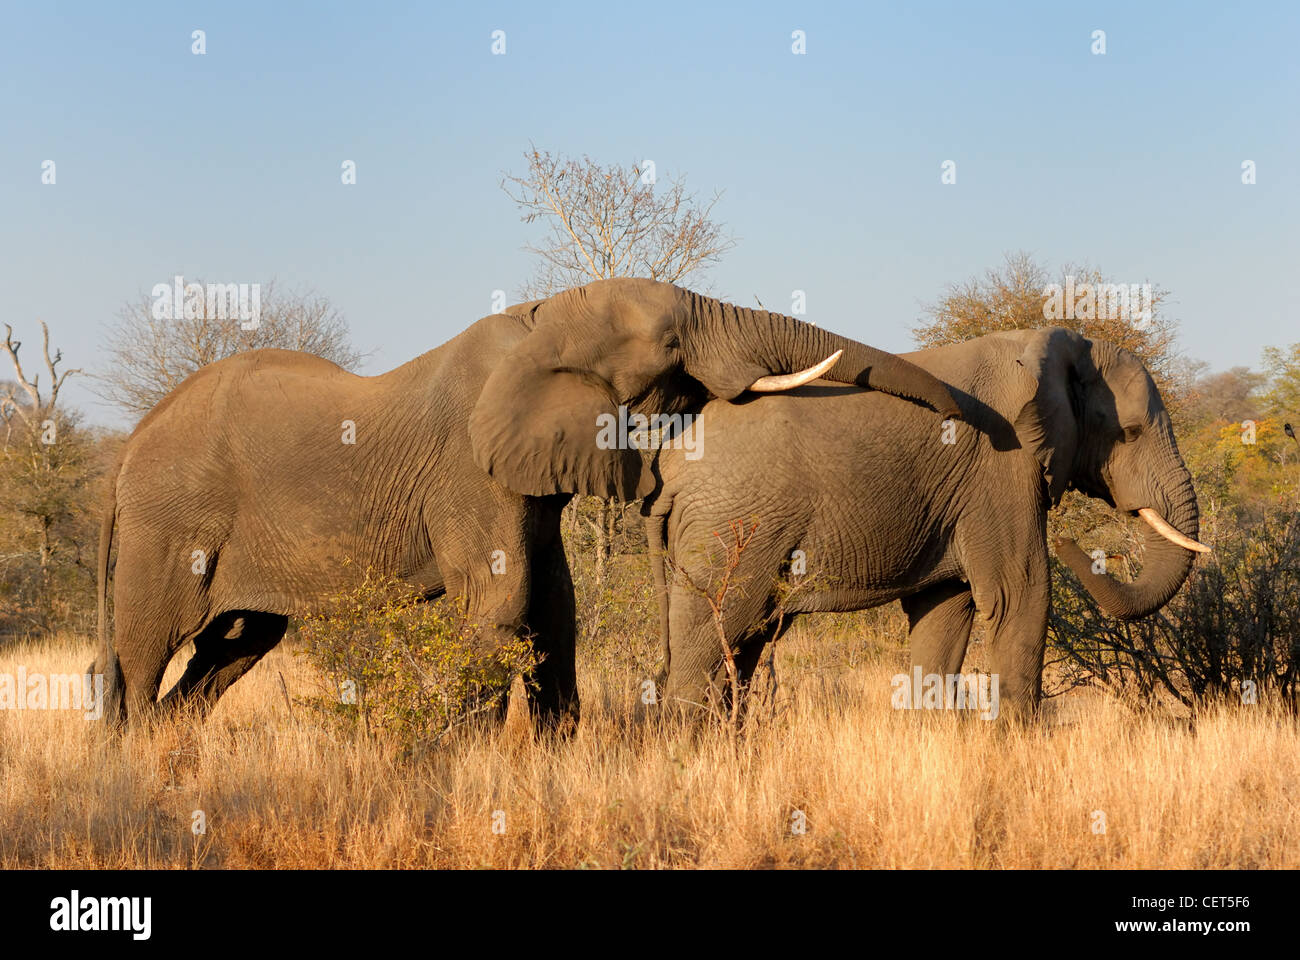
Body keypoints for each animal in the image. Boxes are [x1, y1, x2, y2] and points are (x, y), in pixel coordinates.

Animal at [94, 274, 967, 723]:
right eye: (673, 344)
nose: (974, 421)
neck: (539, 318)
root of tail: (128, 445)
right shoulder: (471, 474)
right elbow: (506, 599)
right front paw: (463, 760)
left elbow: (554, 608)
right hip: (169, 526)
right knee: (145, 648)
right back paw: (132, 764)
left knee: (229, 648)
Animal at [647, 329, 1206, 718]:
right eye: (1129, 433)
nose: (1073, 543)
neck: (1050, 343)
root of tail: (670, 466)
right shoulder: (1001, 468)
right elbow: (1020, 594)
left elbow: (944, 610)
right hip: (731, 527)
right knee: (708, 644)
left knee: (742, 644)